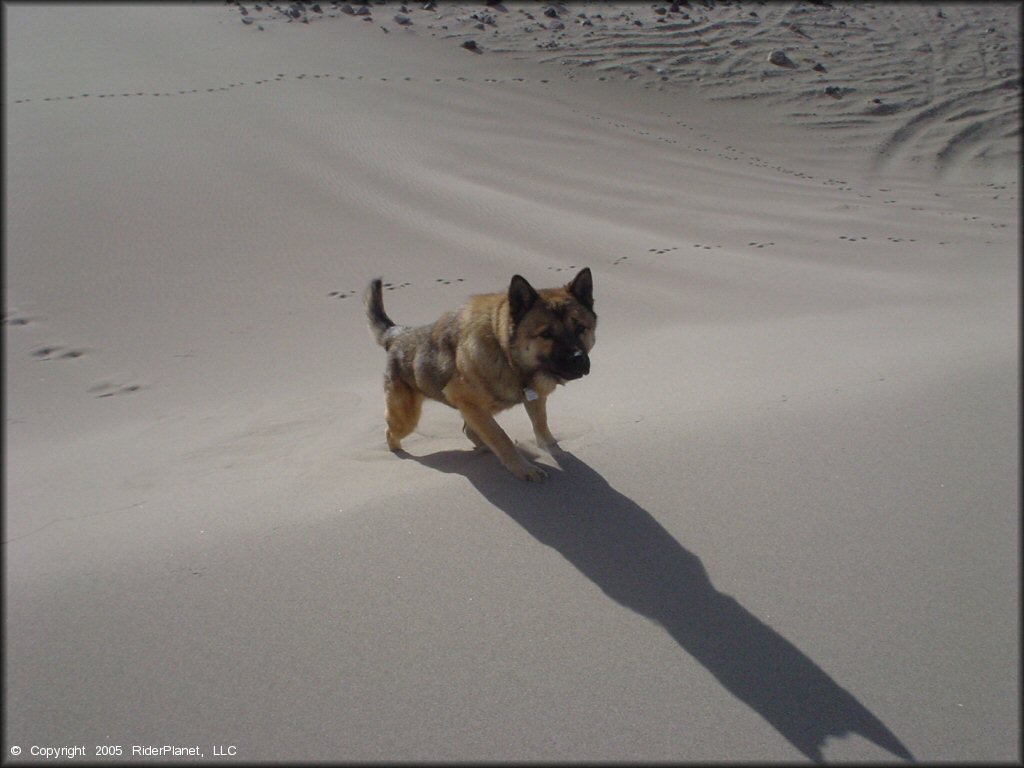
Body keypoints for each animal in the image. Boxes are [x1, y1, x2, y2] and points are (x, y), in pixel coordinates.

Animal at [366, 268, 593, 479]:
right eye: (546, 334)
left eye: (580, 328)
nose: (578, 360)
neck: (505, 352)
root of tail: (398, 334)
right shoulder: (468, 402)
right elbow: (501, 437)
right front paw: (522, 467)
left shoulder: (532, 397)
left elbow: (541, 424)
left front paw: (552, 448)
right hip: (407, 419)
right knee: (391, 433)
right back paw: (397, 451)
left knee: (469, 430)